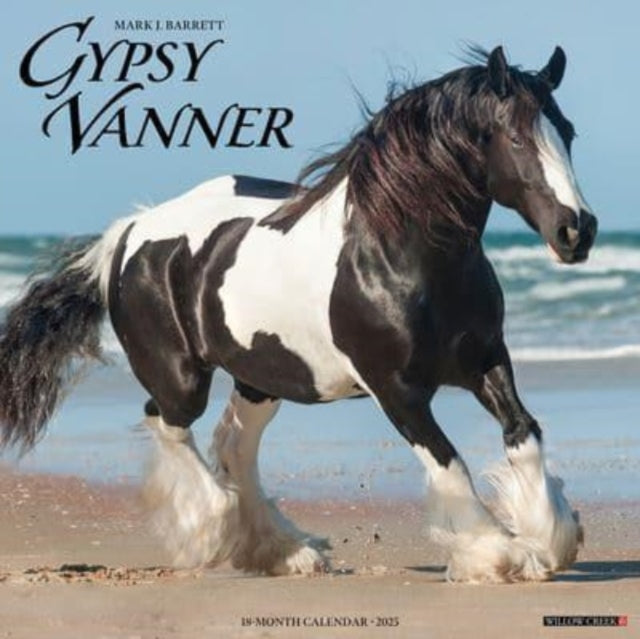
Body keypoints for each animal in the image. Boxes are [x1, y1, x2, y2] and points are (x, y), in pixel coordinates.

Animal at [0, 46, 598, 583]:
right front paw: (499, 555)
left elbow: (523, 432)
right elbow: (448, 463)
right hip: (182, 378)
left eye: (568, 132)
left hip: (263, 377)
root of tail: (129, 232)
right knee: (167, 422)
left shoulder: (486, 361)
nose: (577, 230)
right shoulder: (396, 390)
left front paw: (552, 540)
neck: (402, 257)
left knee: (233, 445)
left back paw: (282, 552)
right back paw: (212, 532)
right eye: (516, 136)